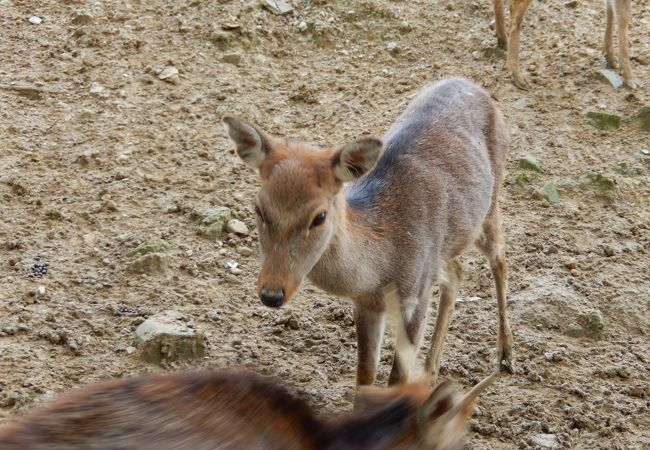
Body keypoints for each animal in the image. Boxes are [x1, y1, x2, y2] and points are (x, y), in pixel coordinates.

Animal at [221, 77, 512, 386]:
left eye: (319, 216)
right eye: (259, 208)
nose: (272, 294)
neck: (379, 274)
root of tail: (473, 85)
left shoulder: (417, 294)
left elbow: (397, 377)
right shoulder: (365, 305)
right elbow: (365, 372)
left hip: (489, 205)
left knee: (499, 259)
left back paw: (505, 357)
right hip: (451, 240)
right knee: (457, 271)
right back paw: (430, 375)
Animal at [492, 0, 632, 89]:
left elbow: (616, 13)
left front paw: (612, 59)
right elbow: (624, 17)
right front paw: (629, 77)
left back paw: (503, 40)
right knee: (514, 10)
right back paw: (519, 77)